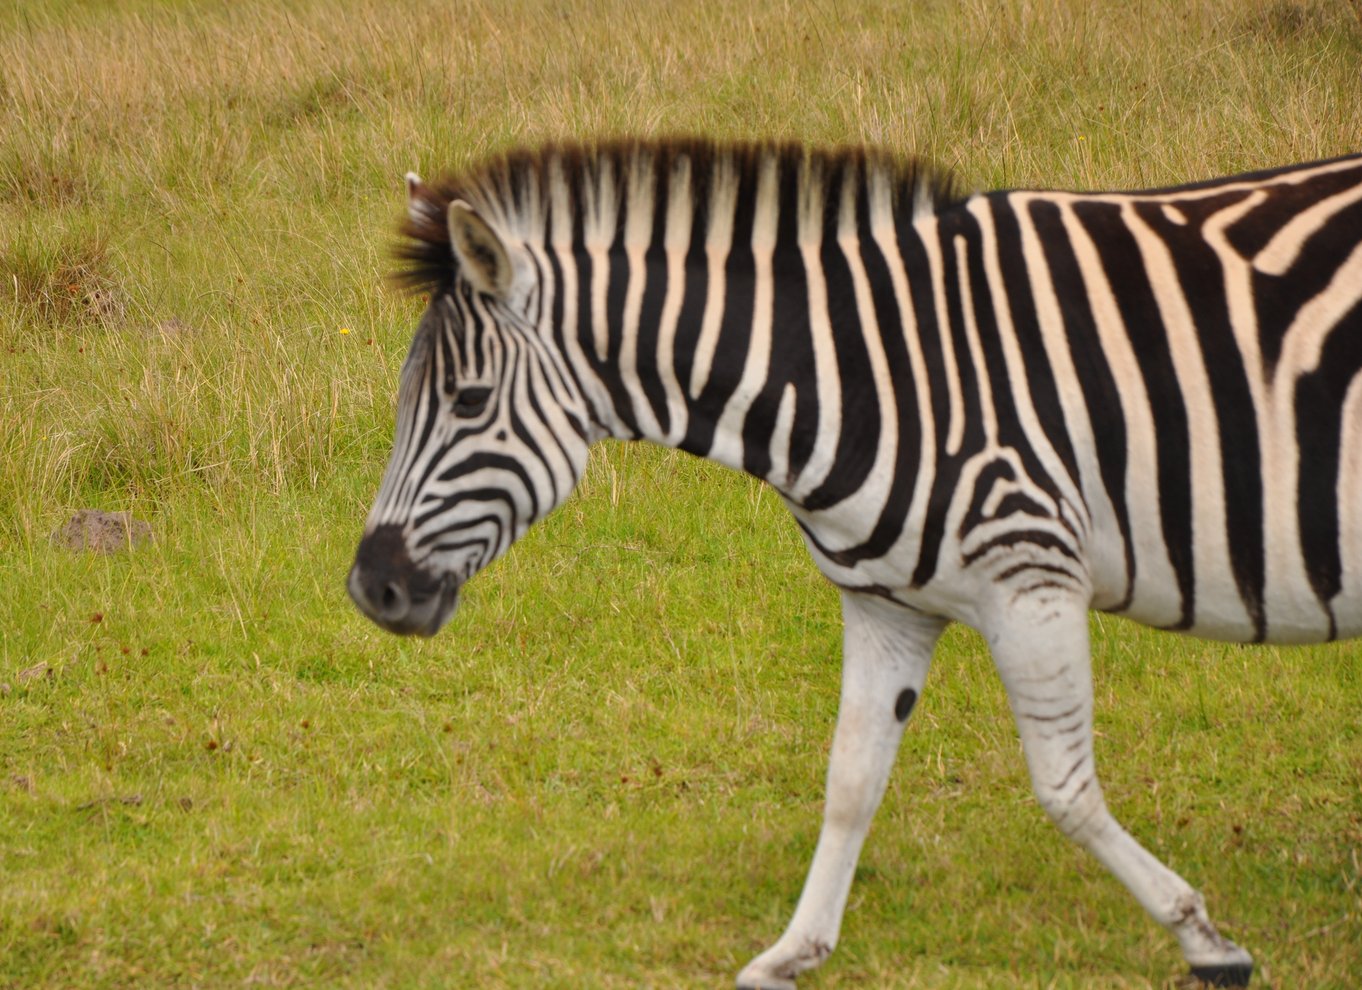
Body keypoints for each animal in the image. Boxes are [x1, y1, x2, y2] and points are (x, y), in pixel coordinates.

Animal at [348, 141, 1362, 990]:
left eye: (468, 401)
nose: (370, 587)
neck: (861, 372)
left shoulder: (1031, 571)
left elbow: (1065, 790)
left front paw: (1204, 938)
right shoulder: (888, 602)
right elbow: (850, 781)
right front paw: (792, 953)